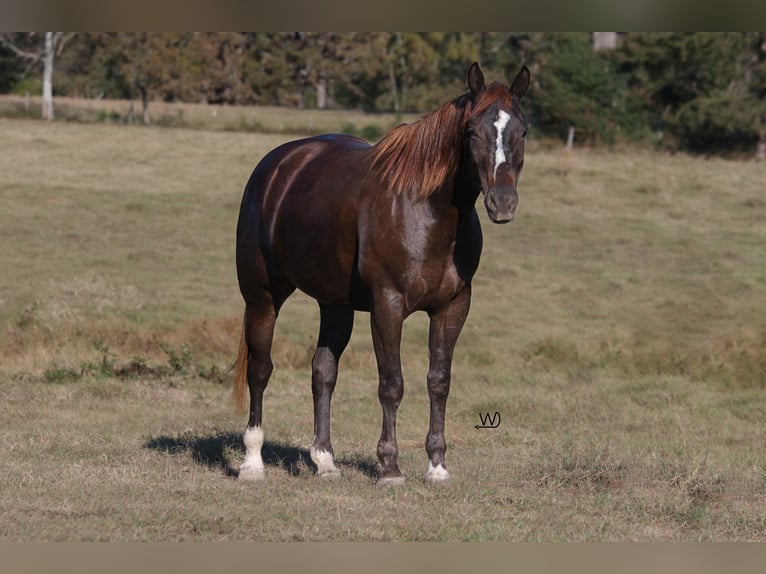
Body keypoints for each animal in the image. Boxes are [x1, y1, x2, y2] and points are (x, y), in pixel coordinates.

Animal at [234, 62, 532, 486]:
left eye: (522, 131)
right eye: (472, 132)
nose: (502, 203)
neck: (427, 211)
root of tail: (278, 165)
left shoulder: (453, 307)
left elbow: (438, 381)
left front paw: (437, 466)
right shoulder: (387, 306)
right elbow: (392, 384)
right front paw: (390, 468)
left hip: (334, 305)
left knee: (323, 372)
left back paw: (325, 461)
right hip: (261, 297)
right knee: (260, 370)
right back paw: (252, 462)